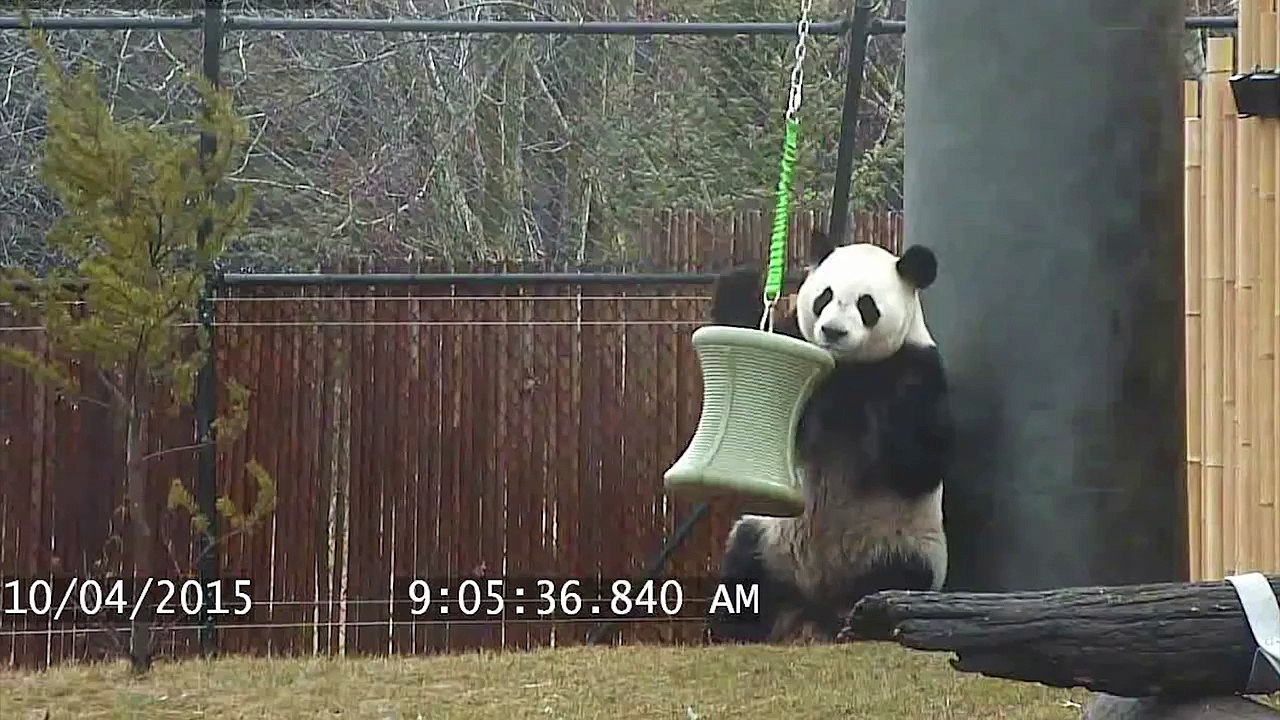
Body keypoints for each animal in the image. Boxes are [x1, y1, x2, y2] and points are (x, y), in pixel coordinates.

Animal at [704, 228, 954, 644]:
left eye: (867, 305)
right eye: (824, 297)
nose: (833, 331)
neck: (846, 367)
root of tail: (816, 601)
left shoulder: (920, 368)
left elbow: (919, 463)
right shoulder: (802, 362)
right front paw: (742, 285)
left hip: (902, 542)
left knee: (898, 577)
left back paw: (863, 624)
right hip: (769, 537)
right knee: (745, 567)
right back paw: (734, 626)